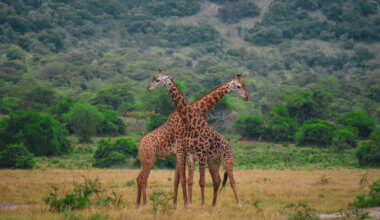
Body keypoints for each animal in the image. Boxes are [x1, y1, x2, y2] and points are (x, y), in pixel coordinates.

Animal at [135, 72, 248, 208]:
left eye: (242, 85)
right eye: (238, 86)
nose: (246, 97)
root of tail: (139, 144)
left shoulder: (183, 152)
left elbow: (181, 179)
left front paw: (179, 205)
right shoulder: (182, 150)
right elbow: (184, 179)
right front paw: (184, 205)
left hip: (146, 160)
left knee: (139, 178)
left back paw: (139, 204)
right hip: (149, 159)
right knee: (143, 179)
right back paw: (144, 205)